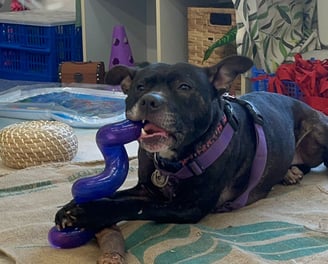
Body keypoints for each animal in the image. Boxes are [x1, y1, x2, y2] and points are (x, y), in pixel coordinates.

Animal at [55, 55, 328, 231]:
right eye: (140, 87)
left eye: (184, 87)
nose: (149, 100)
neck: (177, 158)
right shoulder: (147, 188)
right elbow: (117, 194)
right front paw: (73, 206)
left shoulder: (188, 207)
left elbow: (133, 205)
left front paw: (90, 213)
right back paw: (290, 172)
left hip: (318, 134)